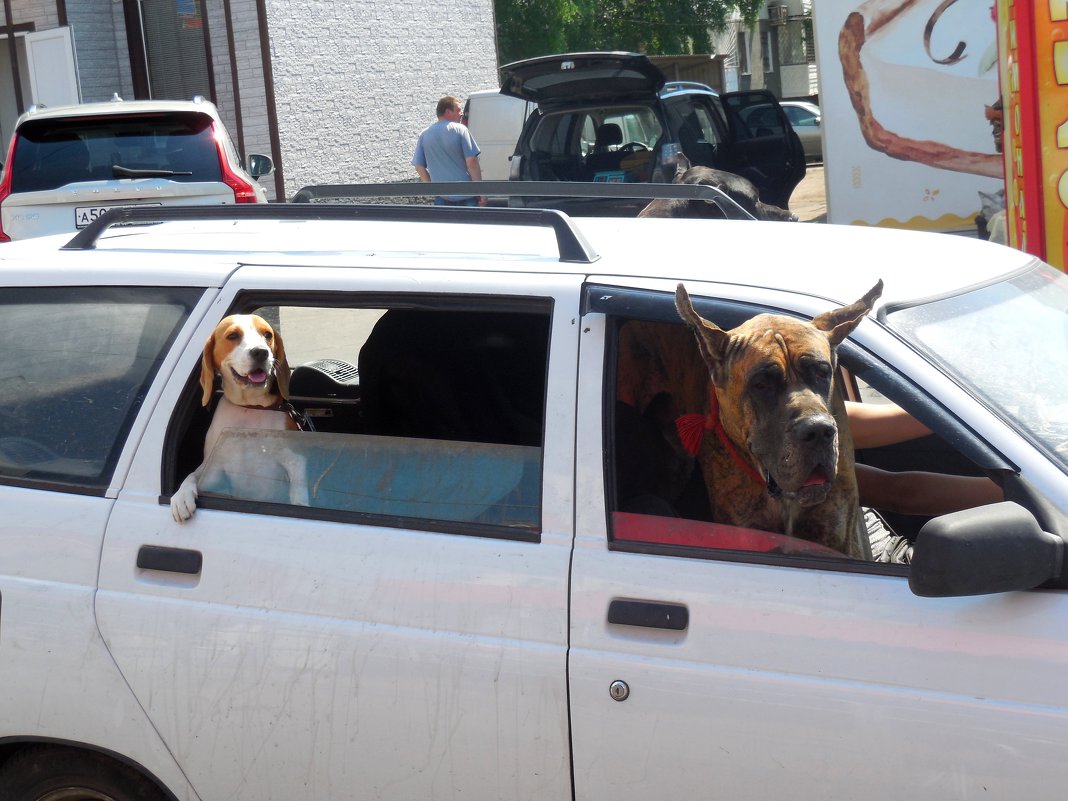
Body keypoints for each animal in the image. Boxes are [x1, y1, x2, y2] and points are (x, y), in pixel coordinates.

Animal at [170, 313, 311, 527]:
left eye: (267, 335)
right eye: (233, 335)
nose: (261, 352)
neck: (250, 408)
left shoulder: (295, 458)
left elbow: (299, 486)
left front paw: (300, 505)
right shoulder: (213, 467)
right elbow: (192, 475)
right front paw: (181, 496)